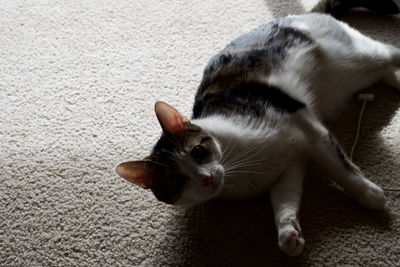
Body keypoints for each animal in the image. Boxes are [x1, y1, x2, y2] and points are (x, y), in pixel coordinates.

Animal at [115, 0, 400, 258]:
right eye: (176, 181)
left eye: (197, 152)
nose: (206, 178)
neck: (238, 169)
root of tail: (299, 16)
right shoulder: (290, 167)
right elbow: (284, 199)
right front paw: (288, 235)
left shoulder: (307, 129)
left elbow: (340, 168)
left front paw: (368, 194)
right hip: (354, 75)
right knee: (384, 70)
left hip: (357, 58)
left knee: (389, 50)